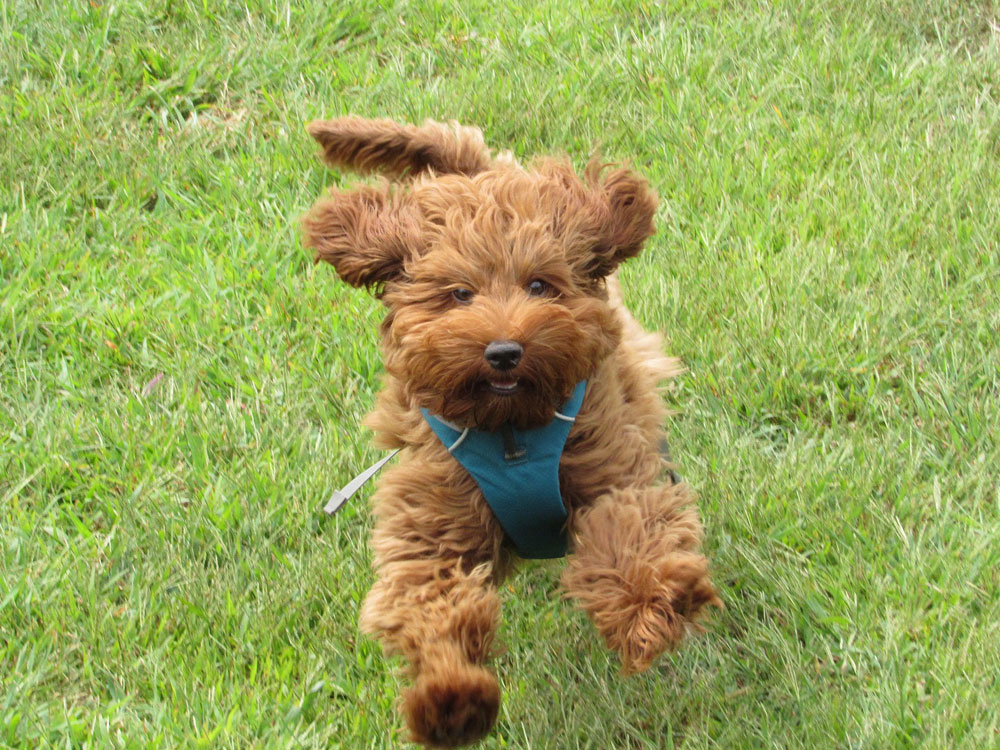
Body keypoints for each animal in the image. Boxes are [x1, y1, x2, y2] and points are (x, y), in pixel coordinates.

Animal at [302, 117, 720, 748]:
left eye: (540, 285)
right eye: (459, 293)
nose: (503, 351)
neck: (511, 432)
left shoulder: (608, 466)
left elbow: (626, 534)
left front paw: (654, 607)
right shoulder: (432, 522)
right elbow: (433, 604)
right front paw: (452, 702)